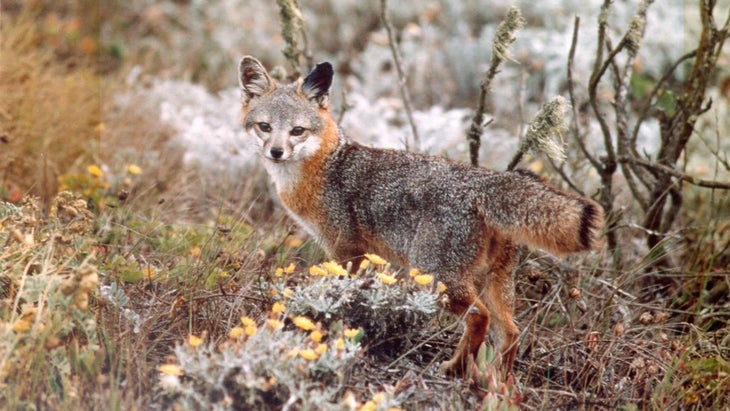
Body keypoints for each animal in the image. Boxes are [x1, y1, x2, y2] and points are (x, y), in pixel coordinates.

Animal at [236, 56, 600, 378]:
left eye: (297, 131)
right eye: (265, 127)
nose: (276, 152)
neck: (325, 167)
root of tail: (483, 180)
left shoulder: (345, 250)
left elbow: (343, 292)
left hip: (436, 275)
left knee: (479, 318)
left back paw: (455, 368)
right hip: (494, 282)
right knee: (510, 331)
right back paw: (496, 381)